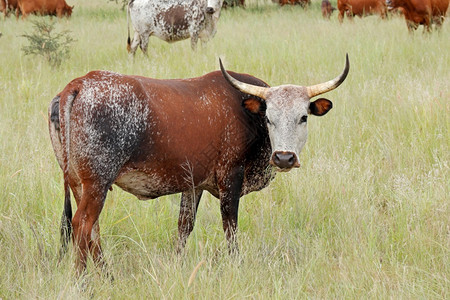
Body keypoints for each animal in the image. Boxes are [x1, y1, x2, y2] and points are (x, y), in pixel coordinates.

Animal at [49, 55, 350, 274]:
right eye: (269, 118)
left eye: (303, 117)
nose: (284, 158)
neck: (246, 112)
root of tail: (79, 84)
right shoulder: (230, 178)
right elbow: (231, 228)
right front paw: (236, 265)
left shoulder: (193, 184)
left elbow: (184, 226)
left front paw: (177, 264)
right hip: (97, 184)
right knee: (83, 226)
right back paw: (83, 280)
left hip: (78, 183)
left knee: (93, 231)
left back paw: (107, 276)